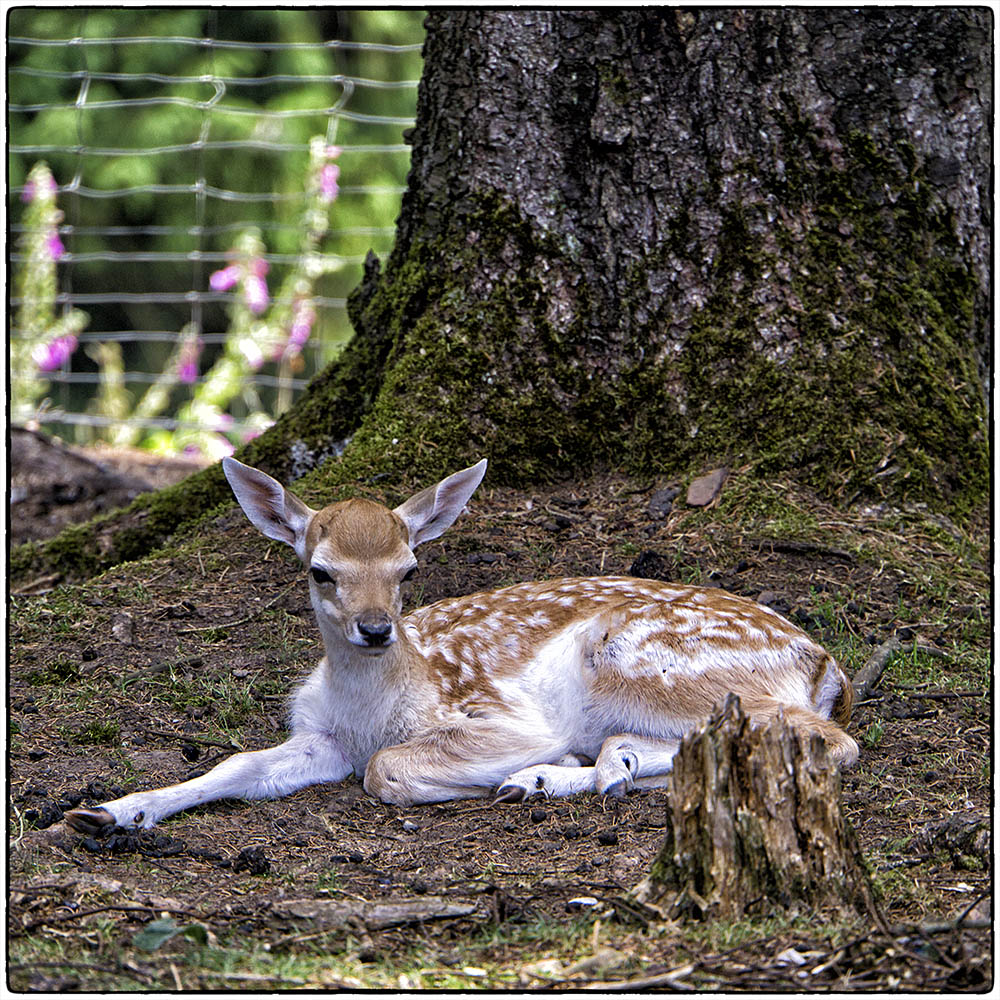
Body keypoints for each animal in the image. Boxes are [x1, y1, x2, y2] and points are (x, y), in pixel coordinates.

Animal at [64, 458, 860, 832]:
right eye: (320, 570)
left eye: (408, 569)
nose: (375, 627)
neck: (374, 706)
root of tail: (824, 665)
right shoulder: (321, 737)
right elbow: (237, 765)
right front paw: (111, 812)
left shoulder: (502, 716)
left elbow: (386, 769)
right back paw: (575, 774)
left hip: (640, 660)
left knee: (827, 740)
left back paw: (555, 773)